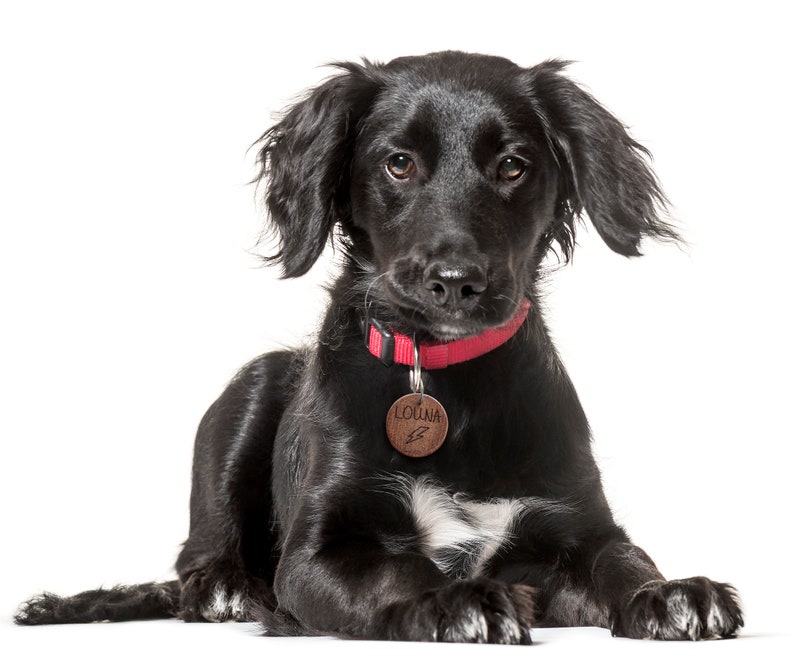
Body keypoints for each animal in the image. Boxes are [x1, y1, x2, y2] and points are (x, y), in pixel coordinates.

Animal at [13, 52, 744, 644]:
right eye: (398, 163)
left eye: (513, 166)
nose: (456, 281)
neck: (444, 378)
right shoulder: (314, 557)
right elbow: (400, 568)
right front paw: (459, 601)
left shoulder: (575, 525)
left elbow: (623, 560)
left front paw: (671, 593)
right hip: (251, 386)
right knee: (195, 559)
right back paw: (226, 589)